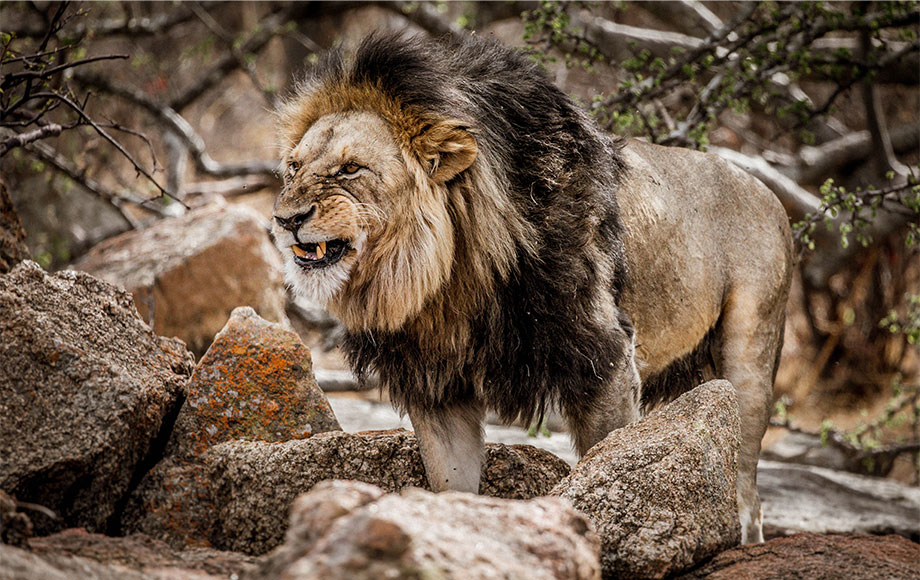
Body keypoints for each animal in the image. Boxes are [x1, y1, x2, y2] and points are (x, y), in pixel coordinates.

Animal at [272, 34, 792, 544]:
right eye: (293, 167)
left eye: (351, 169)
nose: (285, 219)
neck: (450, 272)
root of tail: (767, 191)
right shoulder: (434, 382)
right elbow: (451, 481)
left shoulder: (601, 355)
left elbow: (607, 459)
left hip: (749, 356)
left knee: (747, 485)